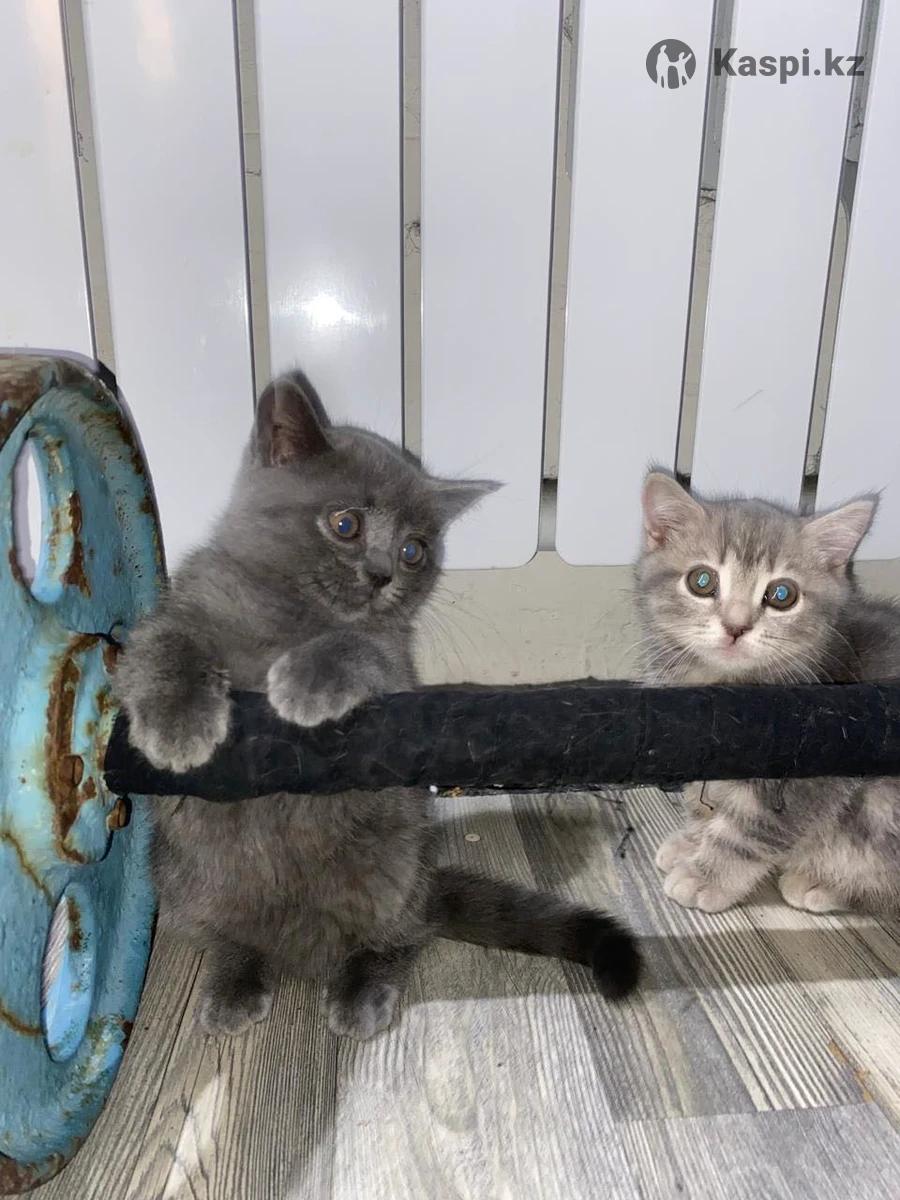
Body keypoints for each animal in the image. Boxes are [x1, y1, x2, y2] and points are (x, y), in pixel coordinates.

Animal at [114, 374, 640, 1040]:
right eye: (345, 524)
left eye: (415, 550)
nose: (384, 573)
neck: (294, 617)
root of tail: (300, 944)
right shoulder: (179, 608)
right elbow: (163, 648)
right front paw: (176, 724)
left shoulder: (396, 665)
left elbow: (359, 646)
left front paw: (306, 684)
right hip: (183, 884)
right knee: (231, 935)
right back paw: (235, 983)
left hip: (394, 863)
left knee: (401, 934)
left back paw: (361, 990)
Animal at [635, 469, 900, 916]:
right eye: (701, 581)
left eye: (782, 595)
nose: (736, 626)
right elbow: (711, 800)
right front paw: (692, 842)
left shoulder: (813, 774)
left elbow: (751, 829)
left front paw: (706, 875)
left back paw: (824, 883)